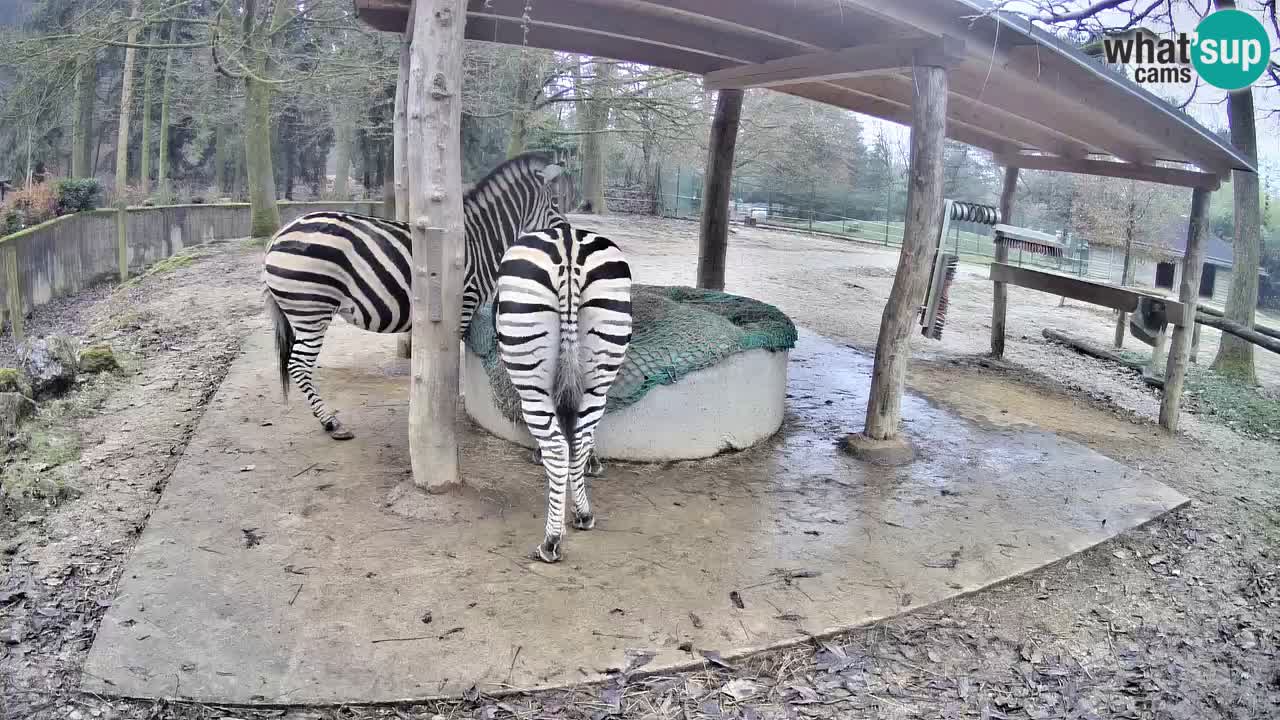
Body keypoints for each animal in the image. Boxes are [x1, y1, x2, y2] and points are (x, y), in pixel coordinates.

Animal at [263, 153, 565, 440]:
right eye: (556, 203)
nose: (565, 234)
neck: (480, 240)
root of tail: (277, 235)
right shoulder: (462, 304)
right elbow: (451, 363)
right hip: (311, 309)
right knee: (299, 364)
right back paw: (331, 422)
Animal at [494, 224, 633, 563]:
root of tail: (568, 243)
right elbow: (576, 436)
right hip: (599, 372)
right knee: (578, 440)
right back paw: (583, 514)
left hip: (532, 382)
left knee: (558, 448)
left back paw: (551, 540)